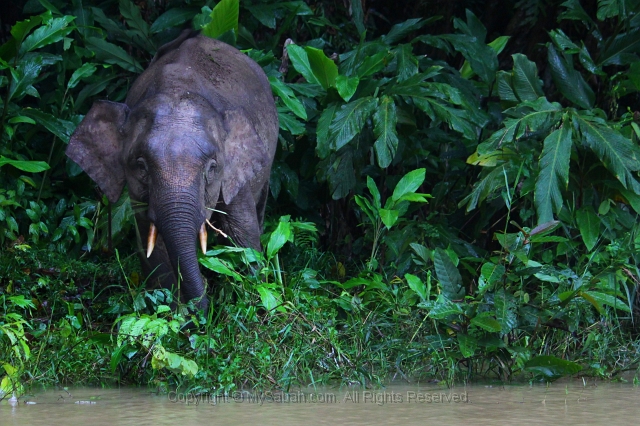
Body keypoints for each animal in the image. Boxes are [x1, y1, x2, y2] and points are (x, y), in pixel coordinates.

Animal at [66, 29, 278, 310]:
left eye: (212, 168)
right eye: (141, 166)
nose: (205, 305)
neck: (178, 88)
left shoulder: (235, 175)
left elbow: (242, 234)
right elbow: (151, 245)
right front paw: (180, 314)